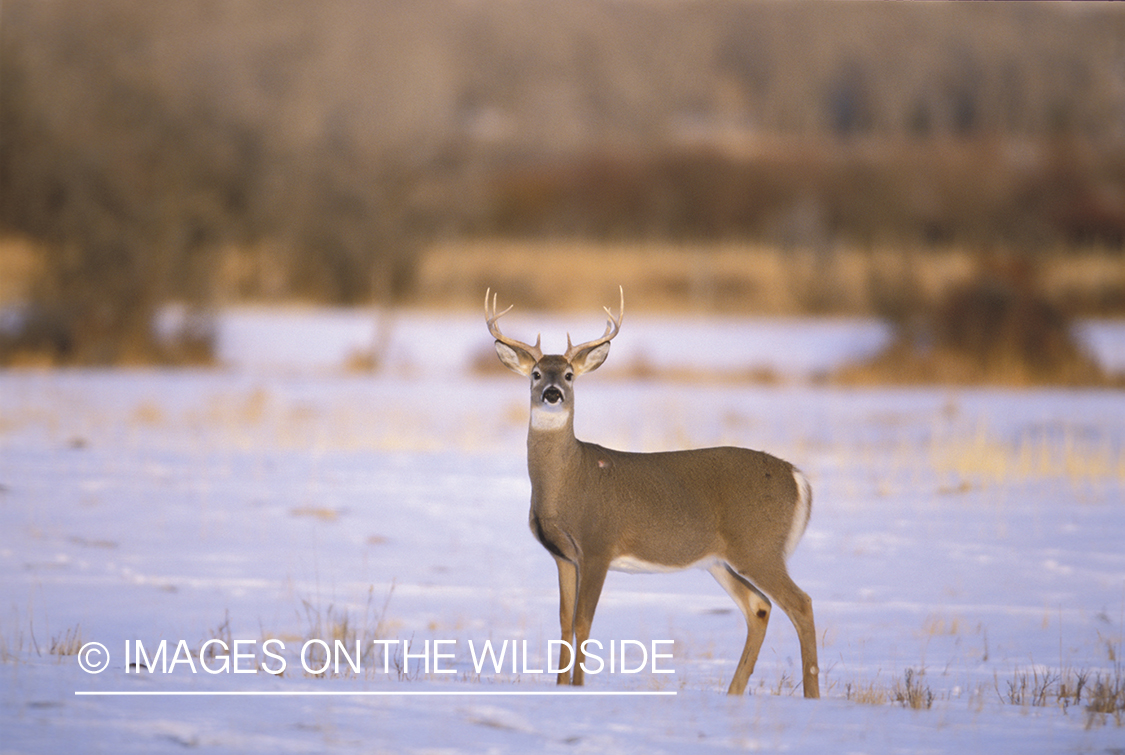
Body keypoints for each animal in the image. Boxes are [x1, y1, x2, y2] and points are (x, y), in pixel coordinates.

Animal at [483, 288, 819, 697]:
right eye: (535, 373)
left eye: (568, 375)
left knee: (800, 604)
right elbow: (564, 622)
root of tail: (797, 476)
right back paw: (734, 694)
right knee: (759, 607)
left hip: (759, 546)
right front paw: (561, 687)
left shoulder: (598, 544)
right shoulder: (563, 555)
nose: (551, 393)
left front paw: (577, 688)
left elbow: (583, 621)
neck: (567, 482)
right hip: (720, 559)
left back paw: (812, 696)